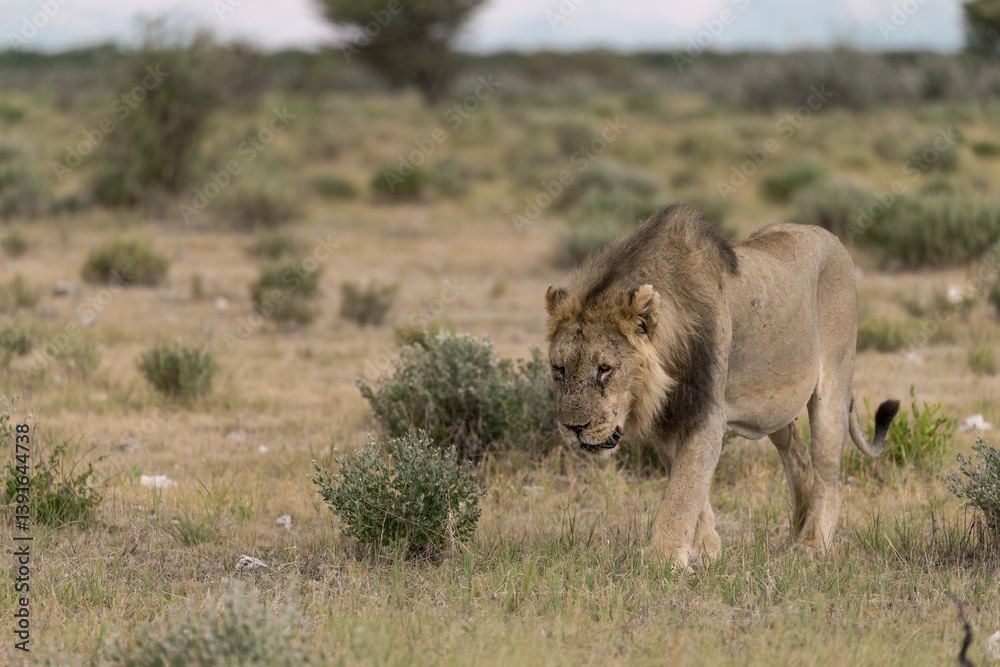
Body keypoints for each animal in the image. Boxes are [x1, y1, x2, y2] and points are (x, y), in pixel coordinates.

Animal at [545, 204, 899, 569]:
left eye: (605, 369)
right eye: (559, 369)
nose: (574, 428)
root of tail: (830, 237)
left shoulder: (706, 415)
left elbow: (685, 489)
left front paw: (663, 559)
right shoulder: (667, 419)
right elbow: (686, 483)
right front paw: (706, 549)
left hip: (833, 387)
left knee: (829, 475)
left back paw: (811, 545)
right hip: (773, 406)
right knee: (798, 457)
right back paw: (794, 532)